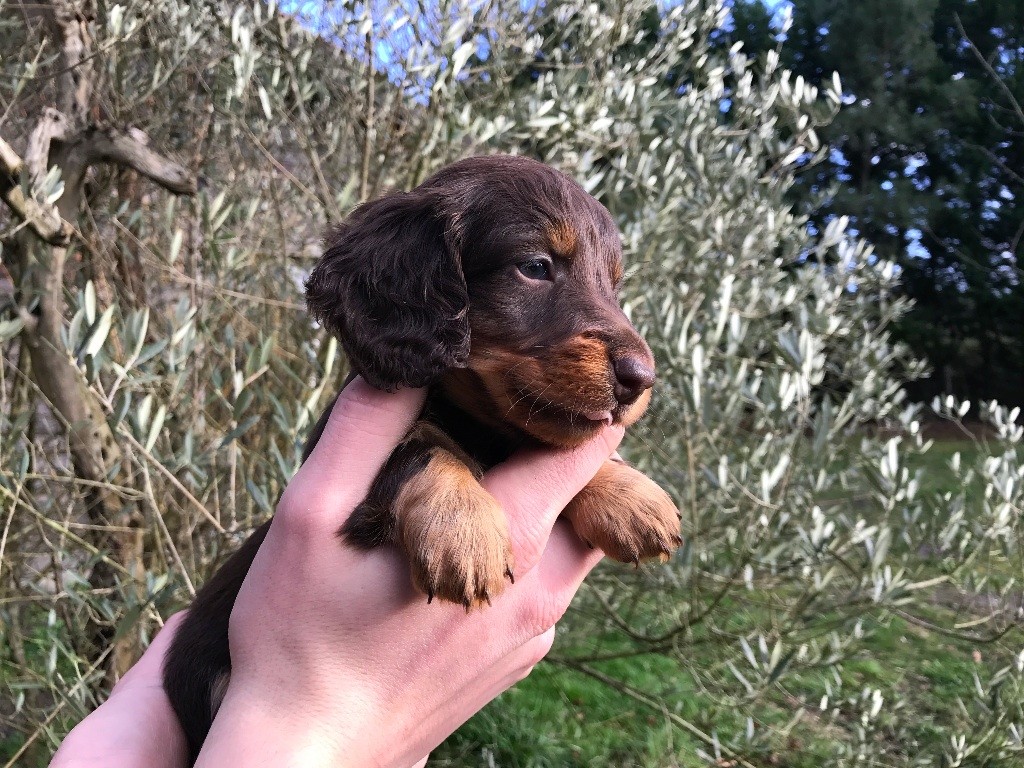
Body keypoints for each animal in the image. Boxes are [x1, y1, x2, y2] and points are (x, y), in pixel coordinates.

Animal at [162, 154, 682, 761]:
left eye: (614, 285)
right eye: (535, 266)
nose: (641, 378)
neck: (478, 426)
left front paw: (631, 496)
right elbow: (421, 446)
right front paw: (464, 531)